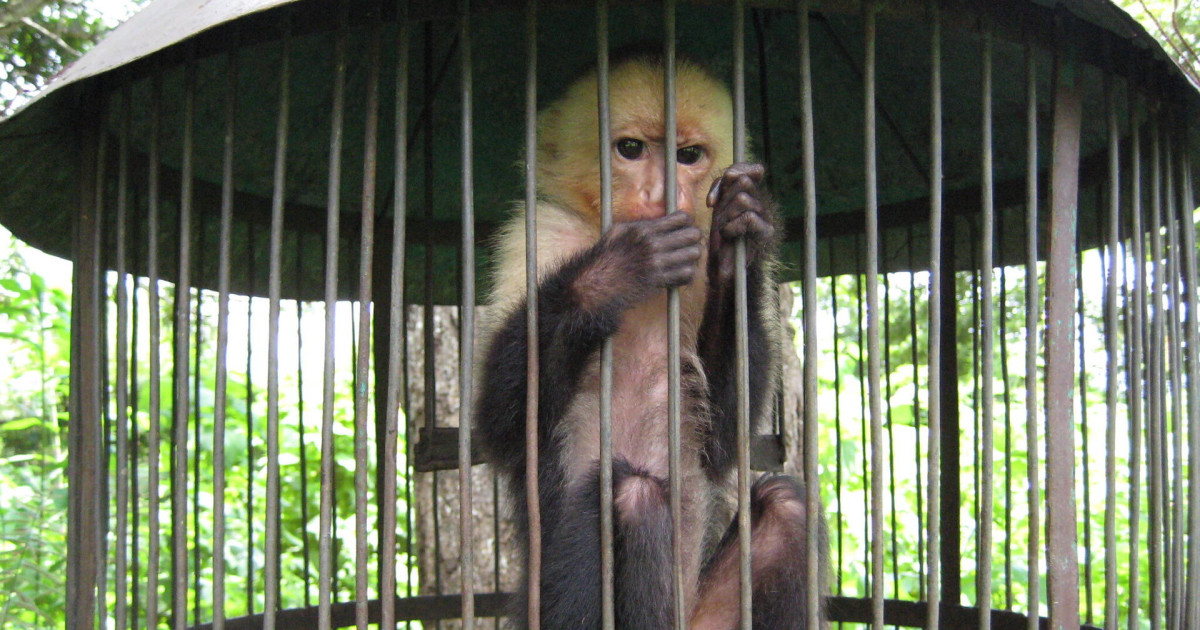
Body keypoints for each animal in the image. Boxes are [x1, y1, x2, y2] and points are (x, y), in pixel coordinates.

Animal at [475, 51, 823, 630]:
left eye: (688, 156)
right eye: (632, 149)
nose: (663, 196)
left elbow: (721, 443)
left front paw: (738, 238)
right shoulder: (540, 233)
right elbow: (504, 427)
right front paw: (617, 269)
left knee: (786, 505)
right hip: (551, 606)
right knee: (632, 496)